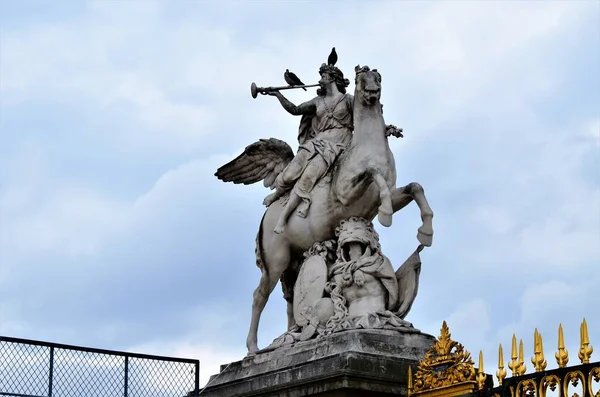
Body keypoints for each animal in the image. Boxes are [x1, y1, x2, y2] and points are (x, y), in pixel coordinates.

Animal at [218, 65, 434, 352]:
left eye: (378, 78)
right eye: (360, 79)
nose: (372, 93)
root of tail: (265, 219)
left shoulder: (387, 196)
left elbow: (415, 188)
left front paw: (426, 231)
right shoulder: (346, 194)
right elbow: (373, 174)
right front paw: (387, 216)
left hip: (295, 260)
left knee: (290, 298)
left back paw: (293, 335)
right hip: (276, 260)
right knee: (259, 296)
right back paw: (254, 348)